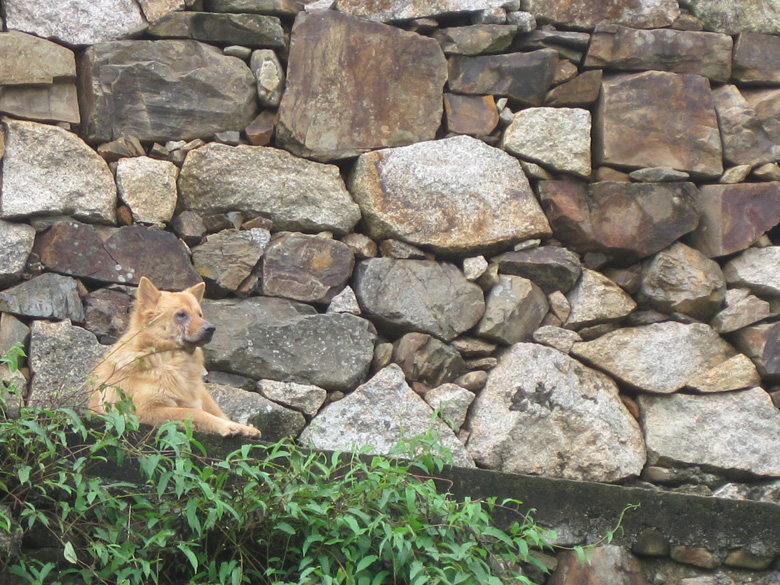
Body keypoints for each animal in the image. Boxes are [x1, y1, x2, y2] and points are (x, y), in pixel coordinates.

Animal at [89, 274, 262, 438]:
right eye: (181, 314)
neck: (169, 360)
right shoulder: (142, 411)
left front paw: (236, 427)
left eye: (200, 314)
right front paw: (226, 427)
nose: (211, 328)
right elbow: (194, 413)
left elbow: (199, 412)